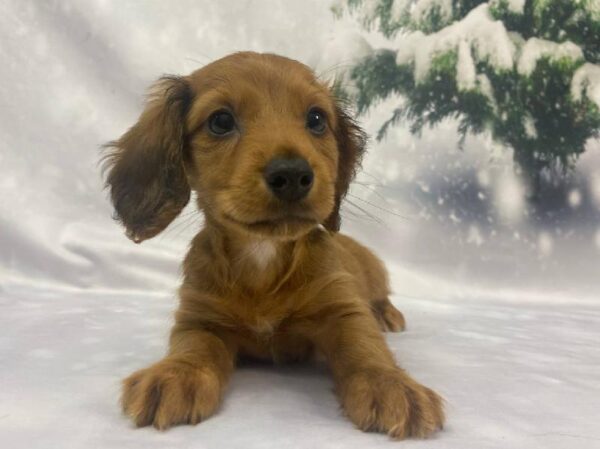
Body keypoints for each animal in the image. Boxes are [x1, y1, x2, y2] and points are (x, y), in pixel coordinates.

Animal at [103, 50, 442, 438]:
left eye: (316, 119)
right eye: (221, 121)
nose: (293, 175)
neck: (263, 254)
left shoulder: (343, 309)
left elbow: (364, 345)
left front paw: (390, 384)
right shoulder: (200, 319)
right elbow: (192, 347)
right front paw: (176, 374)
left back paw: (387, 315)